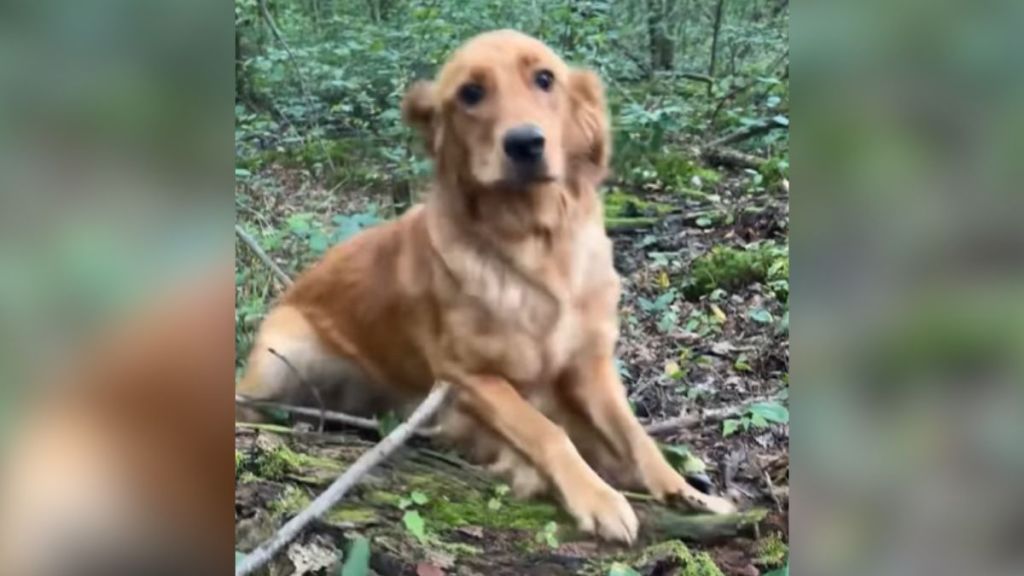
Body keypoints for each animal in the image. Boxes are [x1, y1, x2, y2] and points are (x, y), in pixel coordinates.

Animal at [237, 28, 737, 541]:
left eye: (545, 79)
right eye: (470, 93)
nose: (525, 143)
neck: (535, 247)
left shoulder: (589, 365)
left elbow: (633, 434)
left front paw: (685, 490)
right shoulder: (466, 375)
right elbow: (544, 430)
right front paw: (595, 496)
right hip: (279, 356)